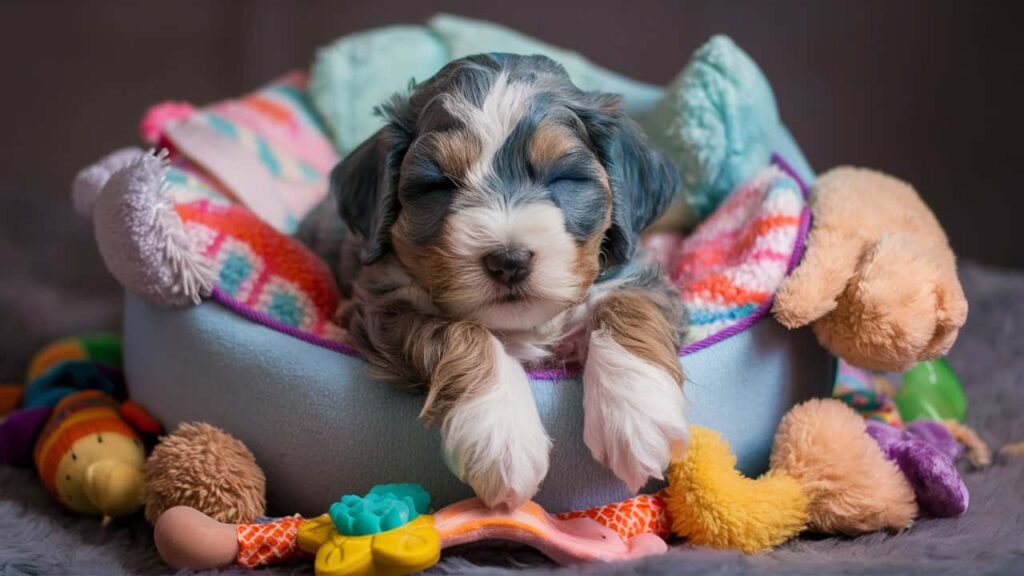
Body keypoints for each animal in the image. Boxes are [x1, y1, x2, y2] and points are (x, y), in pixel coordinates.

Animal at [305, 52, 688, 506]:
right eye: (437, 185)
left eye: (563, 177)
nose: (509, 260)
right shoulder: (380, 304)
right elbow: (460, 331)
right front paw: (499, 434)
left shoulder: (636, 268)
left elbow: (629, 300)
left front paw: (637, 412)